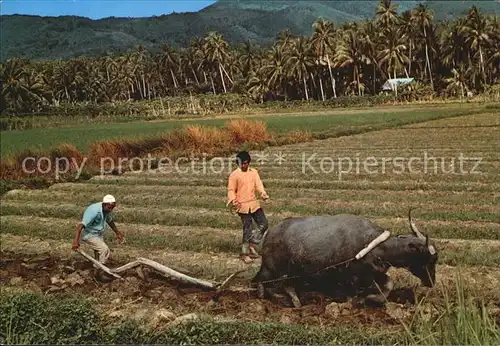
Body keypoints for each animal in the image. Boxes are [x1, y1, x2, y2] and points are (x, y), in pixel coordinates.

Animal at [252, 209, 436, 306]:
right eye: (427, 258)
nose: (431, 282)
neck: (378, 247)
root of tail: (269, 233)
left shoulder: (373, 273)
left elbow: (389, 284)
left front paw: (372, 298)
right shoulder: (353, 276)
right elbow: (351, 294)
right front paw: (358, 301)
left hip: (291, 270)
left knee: (284, 284)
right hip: (272, 267)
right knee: (263, 281)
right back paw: (267, 298)